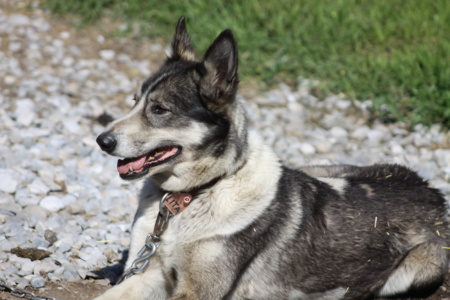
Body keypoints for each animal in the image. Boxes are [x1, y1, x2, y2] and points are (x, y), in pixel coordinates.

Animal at [94, 17, 446, 300]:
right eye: (134, 101)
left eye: (159, 109)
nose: (102, 140)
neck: (193, 195)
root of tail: (431, 190)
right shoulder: (148, 272)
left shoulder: (198, 290)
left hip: (418, 269)